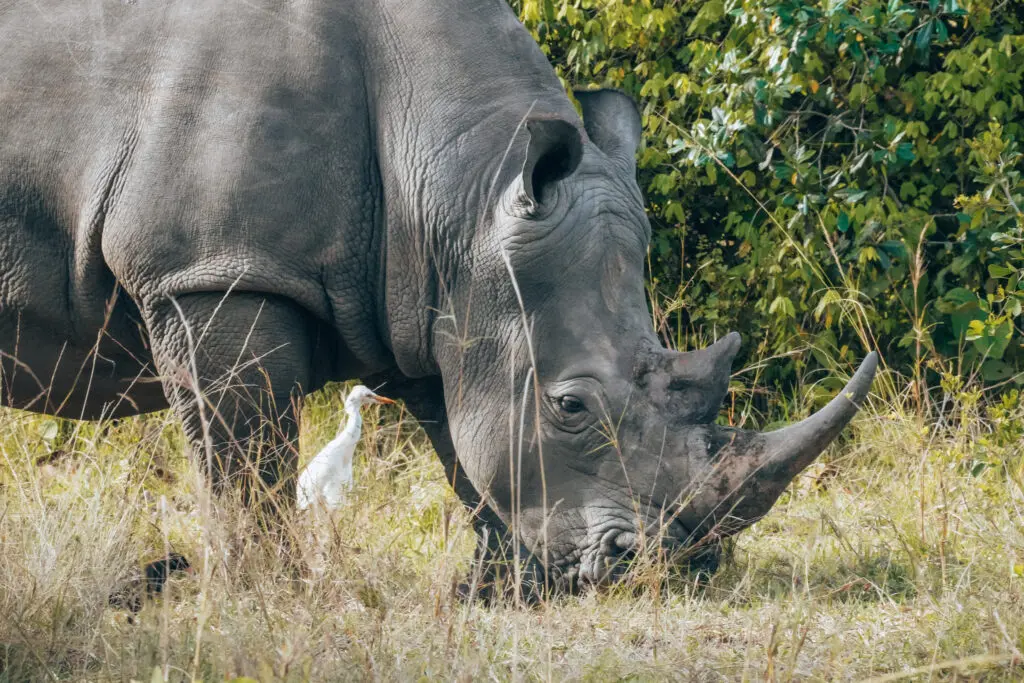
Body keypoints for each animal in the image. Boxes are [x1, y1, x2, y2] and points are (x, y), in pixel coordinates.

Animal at [0, 0, 876, 594]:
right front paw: (263, 593)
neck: (461, 184)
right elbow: (245, 459)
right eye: (571, 406)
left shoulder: (432, 290)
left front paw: (504, 589)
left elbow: (463, 445)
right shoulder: (212, 270)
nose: (675, 568)